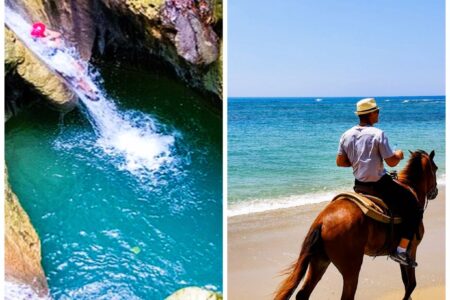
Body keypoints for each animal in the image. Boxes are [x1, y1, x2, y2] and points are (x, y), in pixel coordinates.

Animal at [274, 150, 440, 300]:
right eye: (436, 168)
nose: (435, 192)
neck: (412, 189)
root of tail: (322, 221)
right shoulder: (411, 250)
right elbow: (411, 285)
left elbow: (407, 284)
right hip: (350, 269)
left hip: (320, 260)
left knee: (303, 294)